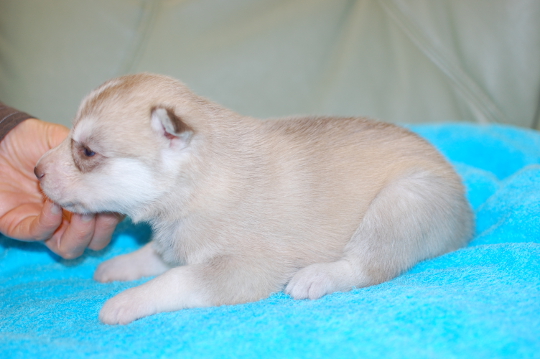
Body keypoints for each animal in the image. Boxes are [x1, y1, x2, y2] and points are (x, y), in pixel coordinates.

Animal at [33, 73, 472, 326]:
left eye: (87, 151)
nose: (36, 170)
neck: (200, 183)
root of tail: (467, 216)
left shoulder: (245, 268)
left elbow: (177, 278)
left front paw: (126, 301)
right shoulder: (176, 241)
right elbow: (155, 255)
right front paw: (118, 266)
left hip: (403, 200)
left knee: (370, 265)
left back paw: (317, 276)